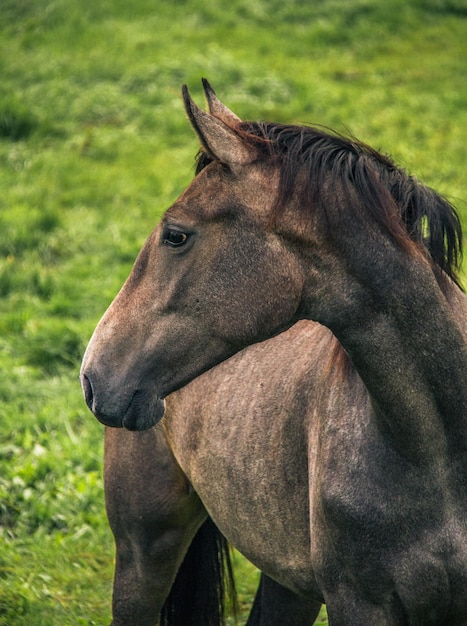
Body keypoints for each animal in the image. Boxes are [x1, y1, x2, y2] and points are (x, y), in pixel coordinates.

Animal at [80, 79, 467, 624]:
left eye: (176, 234)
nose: (94, 375)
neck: (439, 451)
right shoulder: (360, 602)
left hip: (289, 583)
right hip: (145, 549)